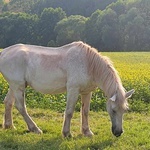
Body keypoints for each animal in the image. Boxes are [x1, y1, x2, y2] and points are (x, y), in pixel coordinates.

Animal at [0, 41, 134, 137]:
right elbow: (69, 111)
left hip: (15, 86)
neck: (88, 64)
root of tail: (4, 52)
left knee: (8, 102)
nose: (118, 133)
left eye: (125, 110)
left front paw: (87, 132)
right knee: (21, 107)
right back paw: (35, 129)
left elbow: (85, 111)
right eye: (113, 110)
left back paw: (9, 126)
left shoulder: (87, 92)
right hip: (18, 86)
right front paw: (67, 133)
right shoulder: (73, 90)